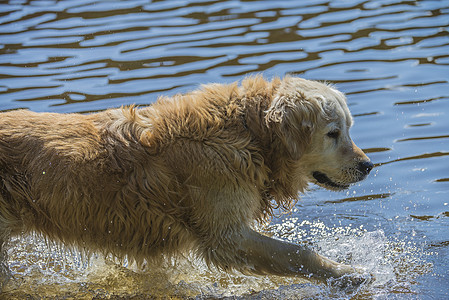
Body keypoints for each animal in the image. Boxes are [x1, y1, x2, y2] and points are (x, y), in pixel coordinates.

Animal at [0, 75, 372, 286]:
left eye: (349, 128)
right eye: (333, 133)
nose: (369, 166)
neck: (249, 134)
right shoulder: (225, 237)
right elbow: (298, 252)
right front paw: (347, 273)